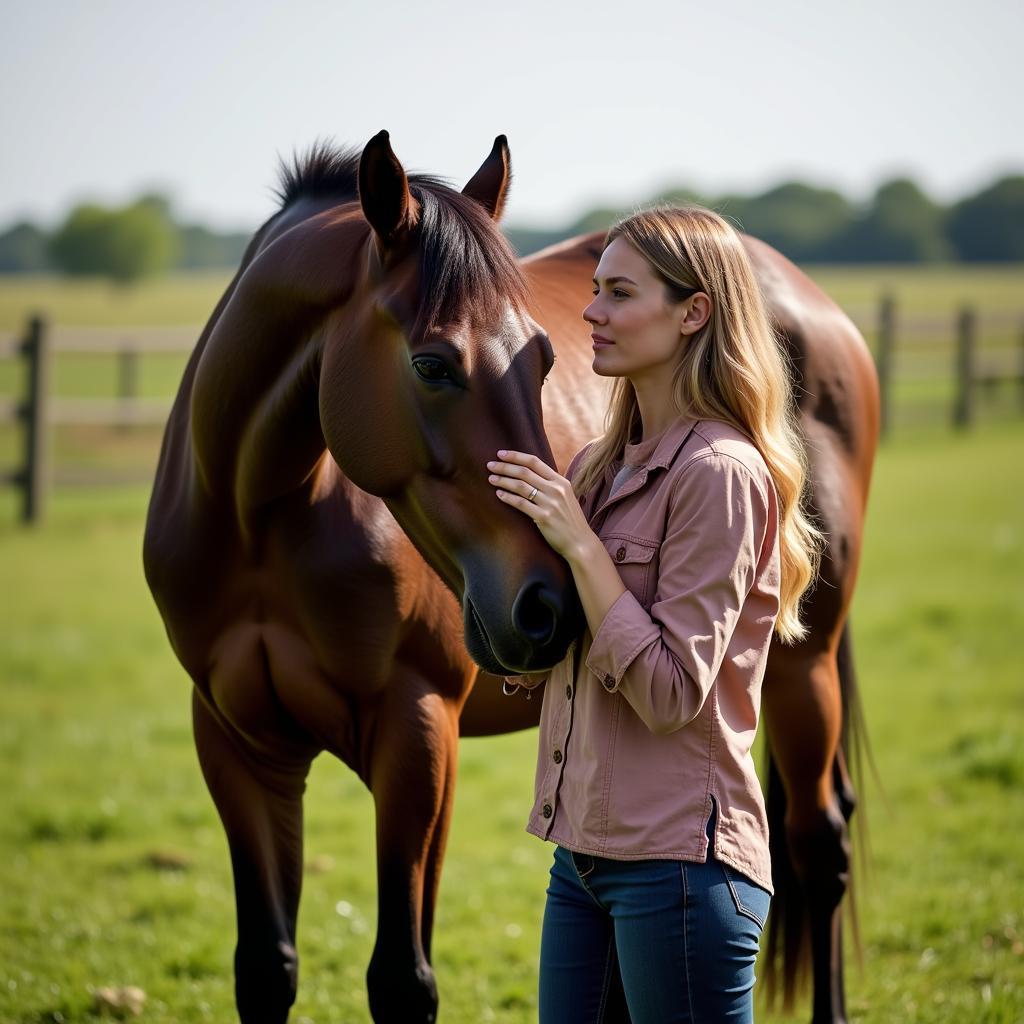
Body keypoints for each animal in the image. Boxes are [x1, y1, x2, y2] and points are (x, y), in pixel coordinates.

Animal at [144, 130, 880, 1024]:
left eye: (544, 356)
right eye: (432, 364)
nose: (548, 610)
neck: (259, 518)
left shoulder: (418, 735)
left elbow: (402, 979)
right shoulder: (238, 746)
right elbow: (266, 969)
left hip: (804, 667)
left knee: (819, 845)